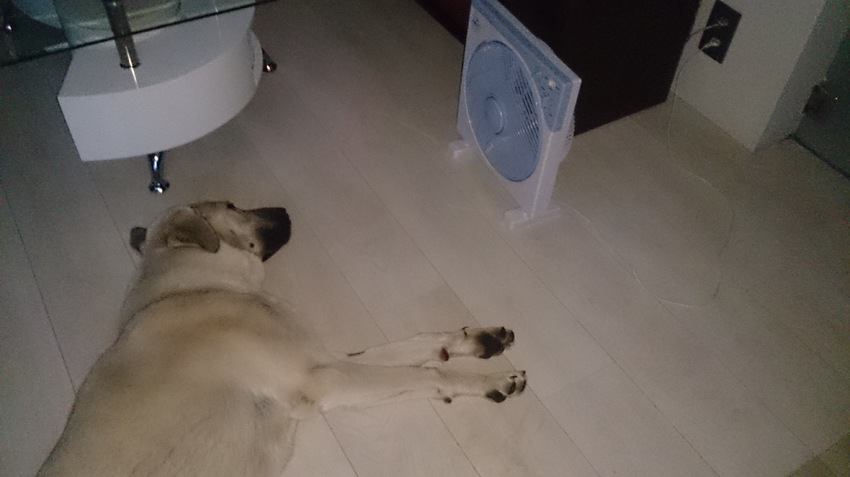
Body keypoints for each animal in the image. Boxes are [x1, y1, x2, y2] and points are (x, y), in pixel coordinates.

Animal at [37, 201, 527, 476]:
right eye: (232, 204)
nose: (287, 212)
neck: (194, 287)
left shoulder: (327, 358)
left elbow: (414, 348)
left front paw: (477, 340)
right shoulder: (324, 377)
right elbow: (426, 373)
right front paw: (488, 381)